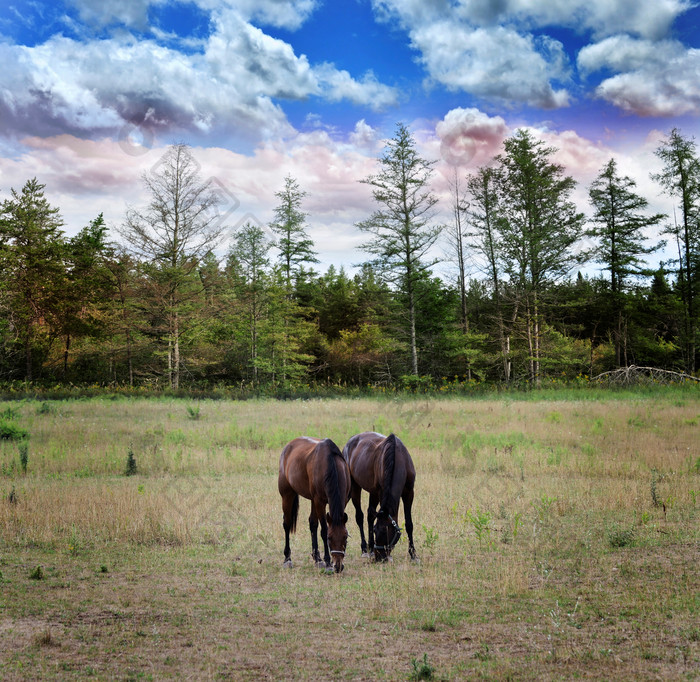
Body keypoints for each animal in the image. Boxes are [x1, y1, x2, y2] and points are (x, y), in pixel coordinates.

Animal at [278, 436, 350, 568]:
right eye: (329, 538)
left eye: (345, 537)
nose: (338, 566)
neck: (330, 463)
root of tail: (289, 446)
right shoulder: (320, 502)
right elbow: (324, 530)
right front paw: (328, 561)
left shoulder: (343, 501)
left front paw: (323, 559)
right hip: (287, 495)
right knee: (287, 523)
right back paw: (287, 558)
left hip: (312, 500)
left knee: (312, 524)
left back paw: (317, 558)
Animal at [344, 432, 416, 560]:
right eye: (375, 531)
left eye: (384, 532)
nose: (379, 557)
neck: (398, 459)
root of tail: (349, 442)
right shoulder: (381, 493)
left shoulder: (409, 493)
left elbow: (409, 524)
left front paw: (413, 554)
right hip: (355, 488)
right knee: (360, 516)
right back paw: (365, 548)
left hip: (372, 493)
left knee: (369, 515)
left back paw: (370, 548)